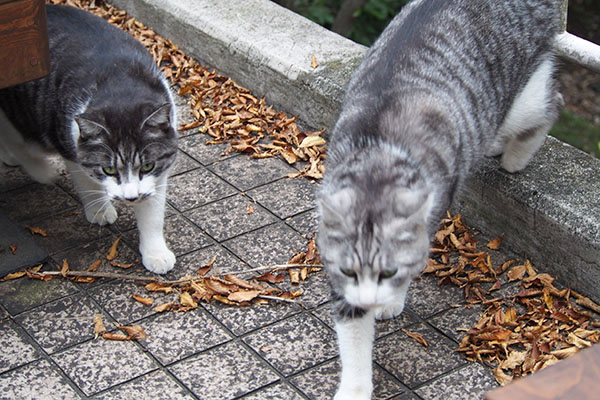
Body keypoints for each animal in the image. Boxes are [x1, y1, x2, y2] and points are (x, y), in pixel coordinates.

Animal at [0, 5, 178, 276]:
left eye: (147, 165)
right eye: (108, 169)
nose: (131, 198)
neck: (120, 84)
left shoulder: (158, 174)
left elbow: (153, 213)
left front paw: (155, 252)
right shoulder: (72, 148)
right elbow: (87, 182)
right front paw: (100, 210)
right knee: (18, 140)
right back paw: (41, 169)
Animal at [318, 1, 564, 398]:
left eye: (389, 271)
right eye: (349, 271)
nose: (370, 300)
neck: (374, 158)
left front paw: (392, 299)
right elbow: (353, 335)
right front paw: (355, 387)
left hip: (520, 98)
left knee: (550, 102)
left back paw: (515, 156)